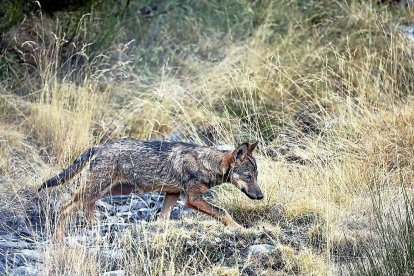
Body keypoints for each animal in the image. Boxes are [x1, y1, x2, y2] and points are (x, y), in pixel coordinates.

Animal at [38, 140, 262, 239]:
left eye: (257, 177)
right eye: (248, 177)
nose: (261, 196)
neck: (207, 163)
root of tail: (98, 146)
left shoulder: (172, 194)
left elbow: (163, 218)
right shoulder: (192, 199)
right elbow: (223, 212)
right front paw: (241, 228)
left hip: (110, 190)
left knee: (86, 206)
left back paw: (97, 225)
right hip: (98, 189)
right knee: (66, 207)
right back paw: (58, 238)